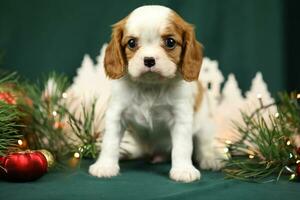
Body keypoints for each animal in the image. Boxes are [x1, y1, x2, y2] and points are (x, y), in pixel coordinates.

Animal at [89, 5, 223, 183]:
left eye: (170, 42)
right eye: (131, 43)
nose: (149, 60)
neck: (150, 86)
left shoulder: (181, 117)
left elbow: (182, 147)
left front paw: (183, 170)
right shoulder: (116, 114)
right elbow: (109, 142)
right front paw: (105, 166)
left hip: (205, 125)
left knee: (204, 145)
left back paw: (210, 159)